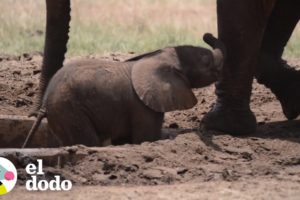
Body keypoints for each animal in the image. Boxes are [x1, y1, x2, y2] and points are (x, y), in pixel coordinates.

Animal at [22, 33, 225, 147]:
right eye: (205, 60)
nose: (207, 35)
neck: (159, 58)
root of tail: (44, 105)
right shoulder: (143, 107)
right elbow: (146, 138)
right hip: (69, 109)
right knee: (88, 141)